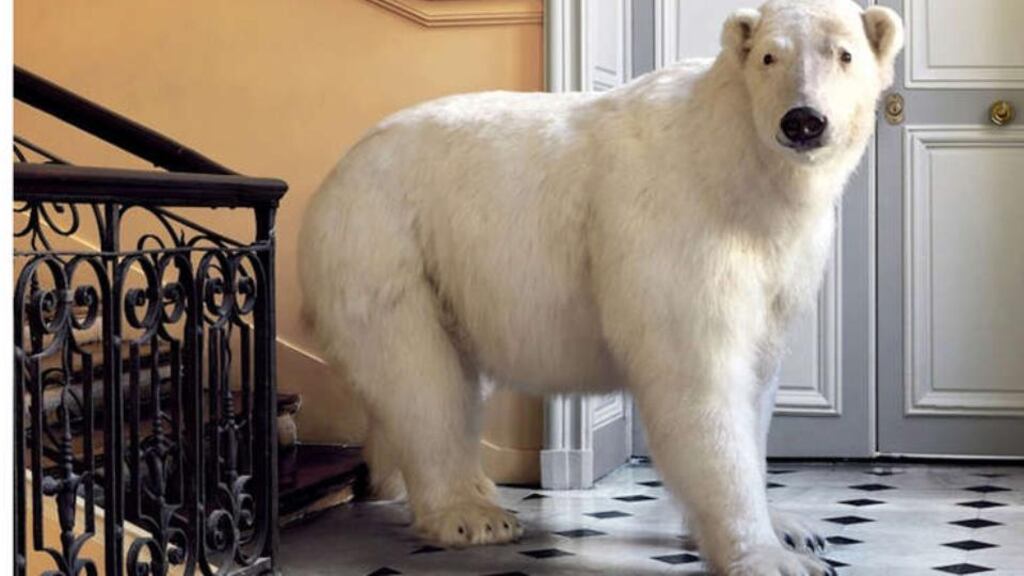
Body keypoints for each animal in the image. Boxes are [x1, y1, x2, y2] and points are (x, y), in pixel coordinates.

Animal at [298, 0, 903, 573]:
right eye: (769, 57)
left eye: (844, 54)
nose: (803, 121)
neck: (739, 166)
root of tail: (340, 169)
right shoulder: (683, 230)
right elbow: (701, 379)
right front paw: (771, 556)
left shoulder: (777, 263)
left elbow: (757, 380)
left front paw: (791, 527)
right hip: (383, 241)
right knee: (421, 378)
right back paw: (472, 515)